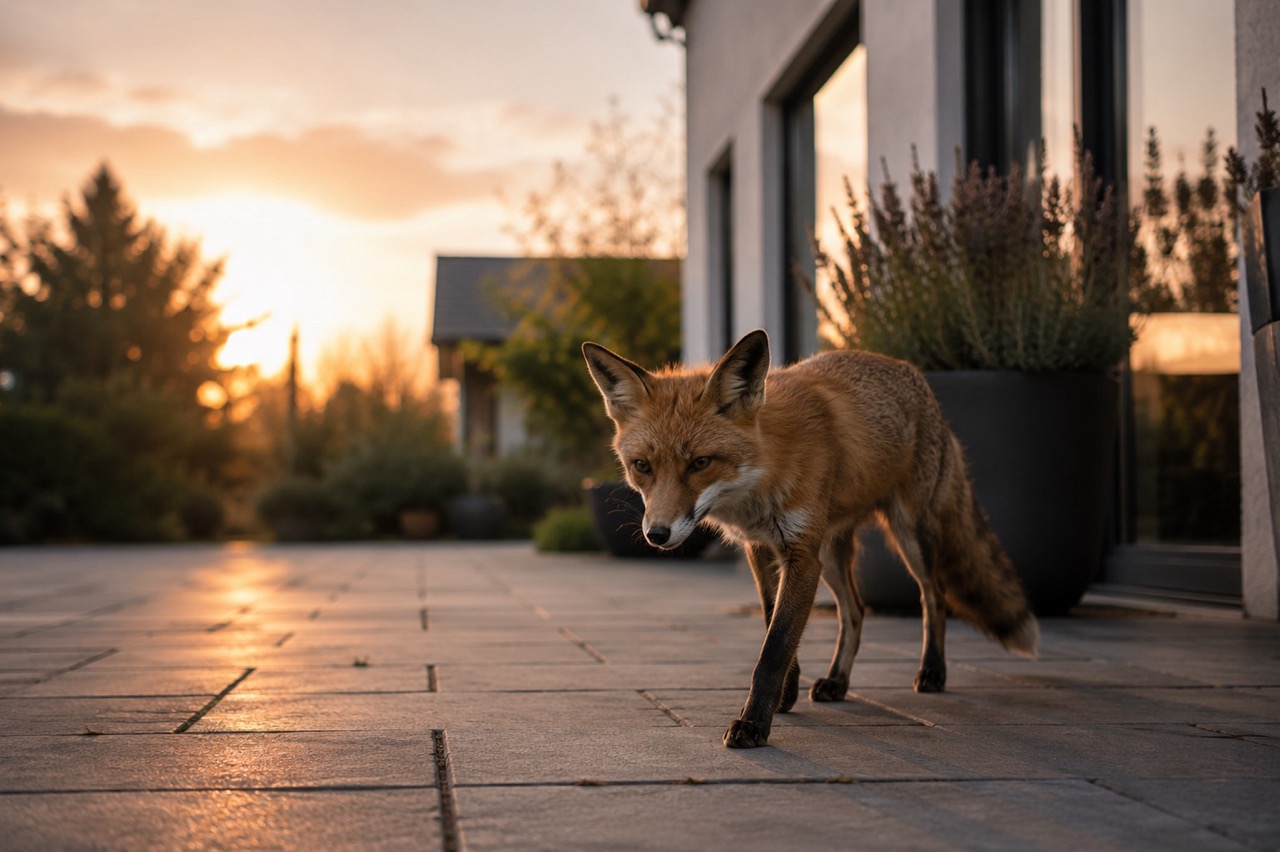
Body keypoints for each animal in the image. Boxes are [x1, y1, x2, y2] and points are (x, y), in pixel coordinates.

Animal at [583, 329, 1039, 748]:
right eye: (642, 466)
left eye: (700, 463)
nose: (657, 534)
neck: (760, 481)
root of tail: (914, 375)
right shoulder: (761, 549)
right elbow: (774, 624)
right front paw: (786, 695)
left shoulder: (800, 554)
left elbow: (774, 648)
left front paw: (754, 723)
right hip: (832, 554)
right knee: (855, 610)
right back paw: (837, 680)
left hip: (908, 535)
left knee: (934, 597)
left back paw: (932, 671)